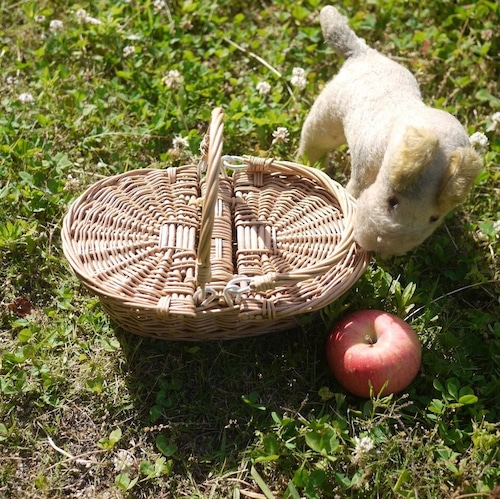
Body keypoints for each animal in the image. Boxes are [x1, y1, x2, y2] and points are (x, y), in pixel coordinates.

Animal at [298, 6, 482, 258]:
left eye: (434, 218)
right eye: (391, 201)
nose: (376, 248)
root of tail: (362, 53)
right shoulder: (365, 168)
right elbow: (353, 190)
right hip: (328, 112)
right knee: (315, 141)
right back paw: (308, 164)